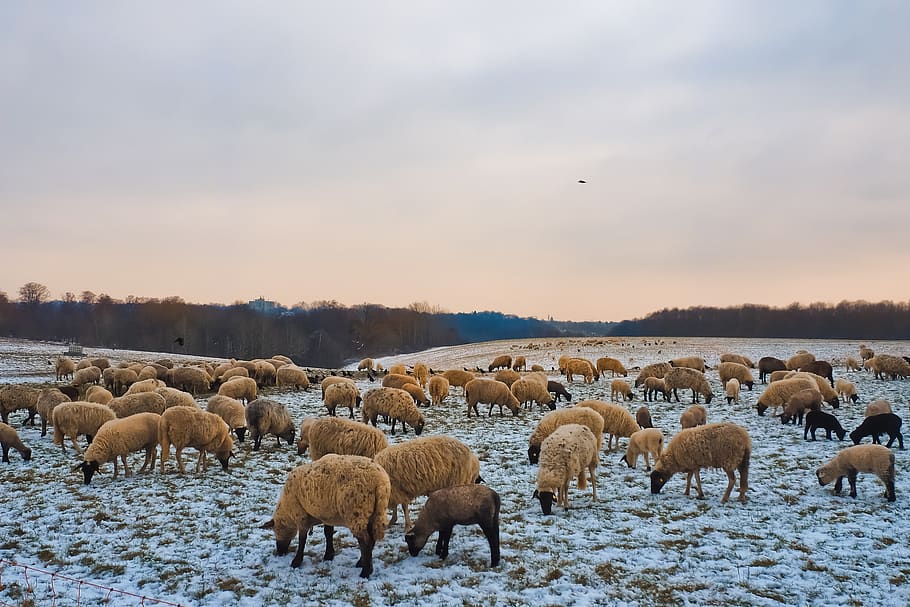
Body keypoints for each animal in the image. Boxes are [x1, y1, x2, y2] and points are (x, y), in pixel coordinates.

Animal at [261, 454, 390, 578]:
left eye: (276, 530)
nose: (279, 552)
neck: (287, 511)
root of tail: (380, 483)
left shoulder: (301, 515)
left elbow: (302, 539)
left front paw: (296, 561)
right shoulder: (327, 515)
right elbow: (328, 533)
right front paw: (329, 555)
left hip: (356, 513)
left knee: (366, 541)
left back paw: (365, 572)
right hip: (374, 513)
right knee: (372, 539)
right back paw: (362, 563)